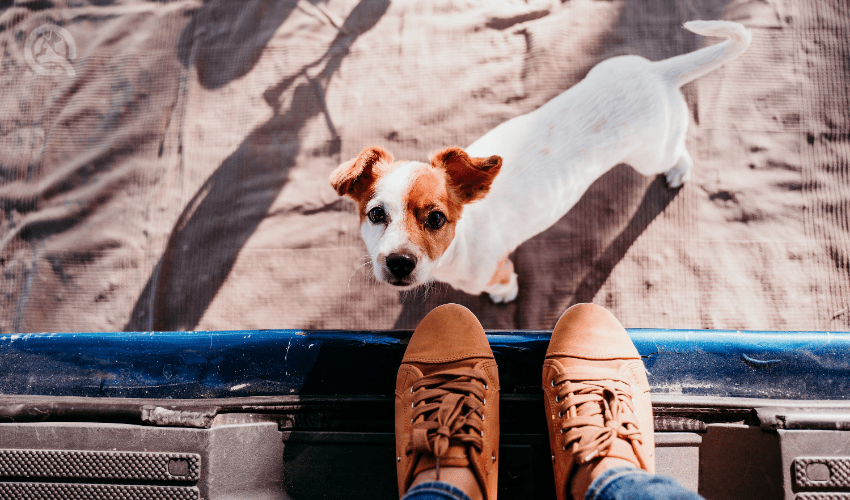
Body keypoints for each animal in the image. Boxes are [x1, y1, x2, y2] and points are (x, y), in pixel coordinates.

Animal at [330, 21, 748, 302]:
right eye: (375, 215)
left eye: (436, 219)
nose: (399, 263)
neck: (456, 248)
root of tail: (657, 72)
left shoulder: (497, 271)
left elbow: (504, 285)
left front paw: (503, 297)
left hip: (651, 155)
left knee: (678, 150)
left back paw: (679, 170)